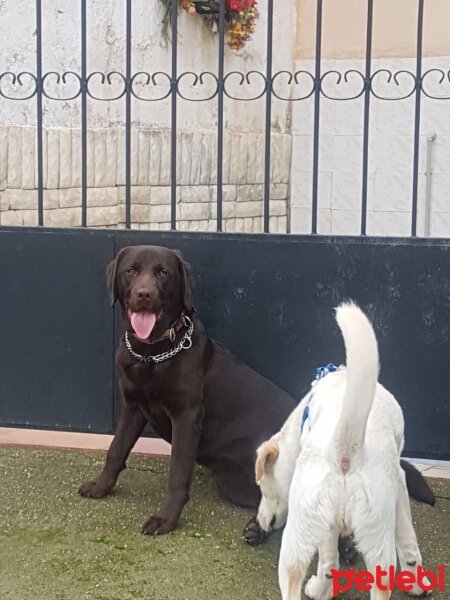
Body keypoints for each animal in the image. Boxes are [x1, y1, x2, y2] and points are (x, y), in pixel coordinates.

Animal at [255, 304, 428, 600]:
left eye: (263, 489)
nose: (260, 522)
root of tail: (346, 449)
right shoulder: (399, 482)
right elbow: (408, 539)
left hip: (296, 542)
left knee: (319, 570)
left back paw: (318, 589)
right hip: (376, 545)